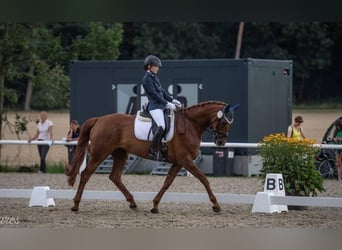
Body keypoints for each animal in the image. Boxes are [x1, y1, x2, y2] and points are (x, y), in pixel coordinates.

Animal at [65, 100, 239, 214]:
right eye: (224, 122)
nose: (221, 142)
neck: (191, 124)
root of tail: (99, 119)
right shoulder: (186, 160)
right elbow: (204, 179)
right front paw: (216, 205)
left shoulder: (179, 162)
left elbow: (167, 182)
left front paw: (155, 206)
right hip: (100, 153)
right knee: (86, 174)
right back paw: (75, 205)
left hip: (120, 153)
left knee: (115, 176)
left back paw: (133, 203)